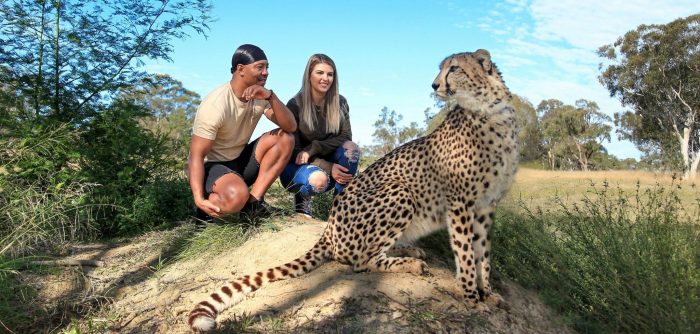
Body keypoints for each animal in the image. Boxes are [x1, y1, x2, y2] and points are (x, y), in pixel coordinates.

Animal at [189, 49, 516, 332]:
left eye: (455, 68)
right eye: (442, 68)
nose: (435, 84)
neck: (490, 112)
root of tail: (330, 226)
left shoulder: (486, 206)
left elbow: (483, 253)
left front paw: (488, 293)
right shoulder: (460, 203)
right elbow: (466, 254)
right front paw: (472, 299)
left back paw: (410, 249)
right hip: (400, 192)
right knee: (361, 261)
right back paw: (411, 263)